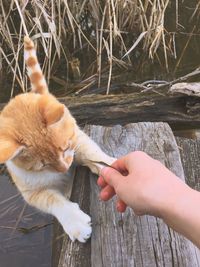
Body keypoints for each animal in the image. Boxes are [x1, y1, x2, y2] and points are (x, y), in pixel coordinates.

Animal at [0, 36, 115, 244]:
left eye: (65, 148)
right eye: (43, 165)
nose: (64, 168)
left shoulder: (78, 142)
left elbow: (95, 154)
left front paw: (111, 165)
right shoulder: (32, 194)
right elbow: (54, 202)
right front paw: (77, 225)